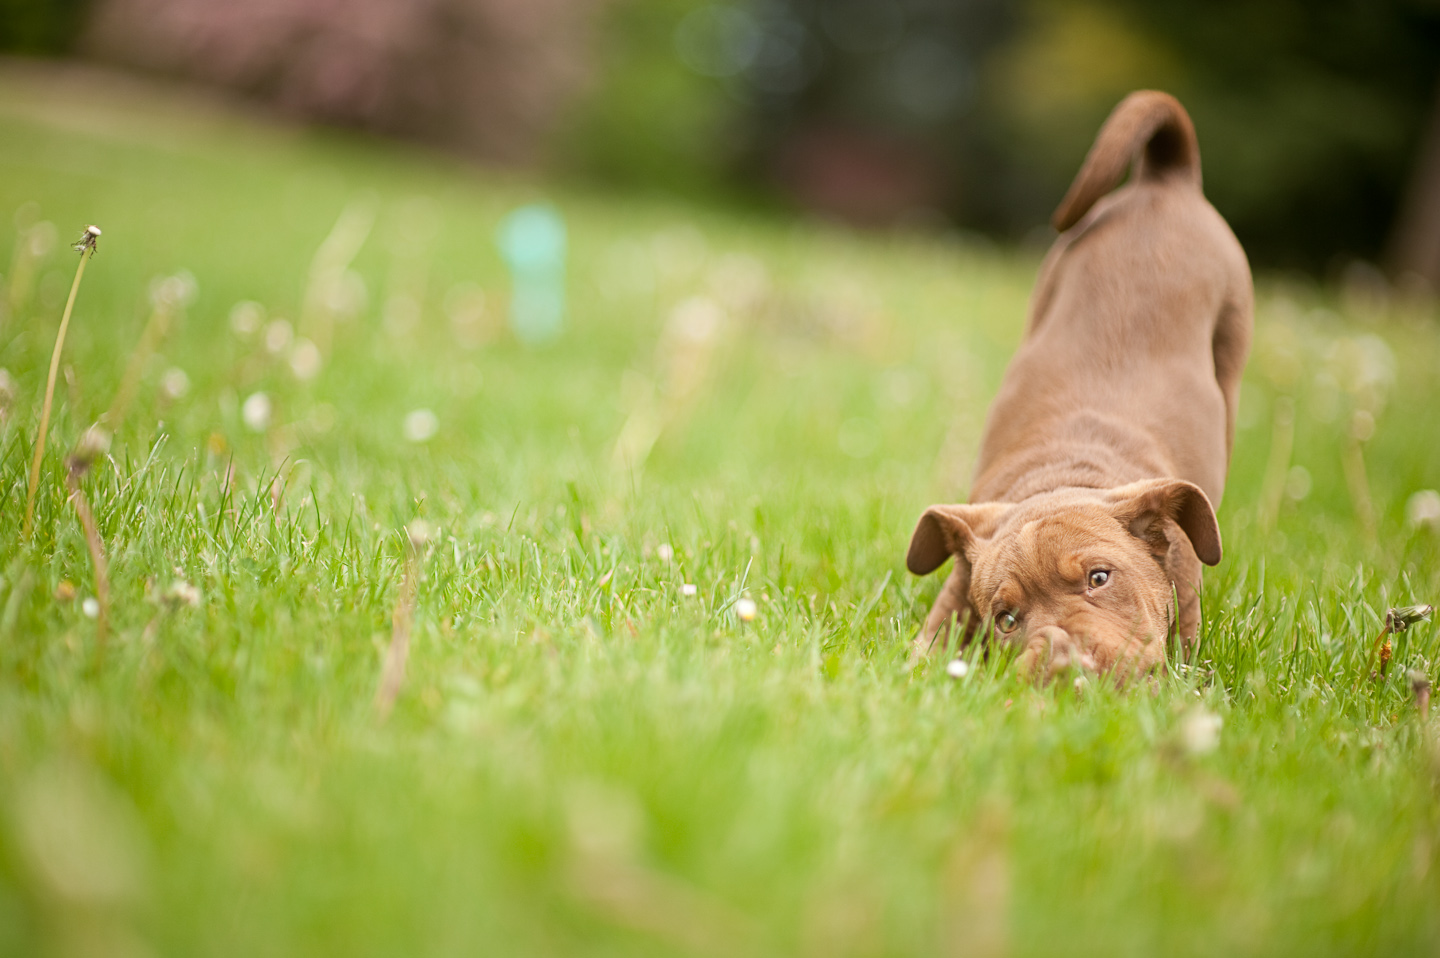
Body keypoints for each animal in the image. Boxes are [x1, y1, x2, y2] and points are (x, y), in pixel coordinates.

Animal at [910, 89, 1249, 677]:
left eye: (1099, 578)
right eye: (1006, 619)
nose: (1065, 661)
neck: (1065, 472)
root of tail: (1164, 181)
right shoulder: (957, 583)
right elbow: (924, 647)